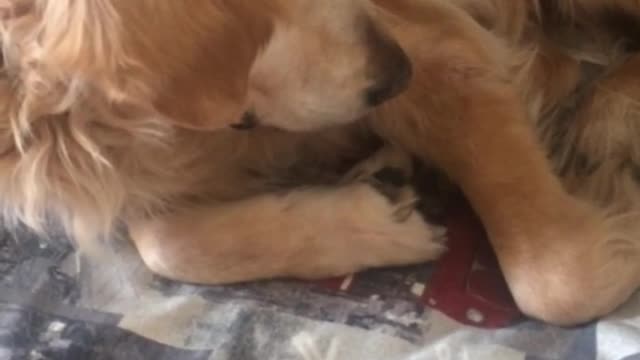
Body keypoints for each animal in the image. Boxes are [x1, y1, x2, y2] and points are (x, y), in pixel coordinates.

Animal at [1, 0, 640, 326]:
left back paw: (607, 115)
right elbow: (161, 242)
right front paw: (380, 209)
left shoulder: (439, 44)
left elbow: (557, 282)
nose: (397, 72)